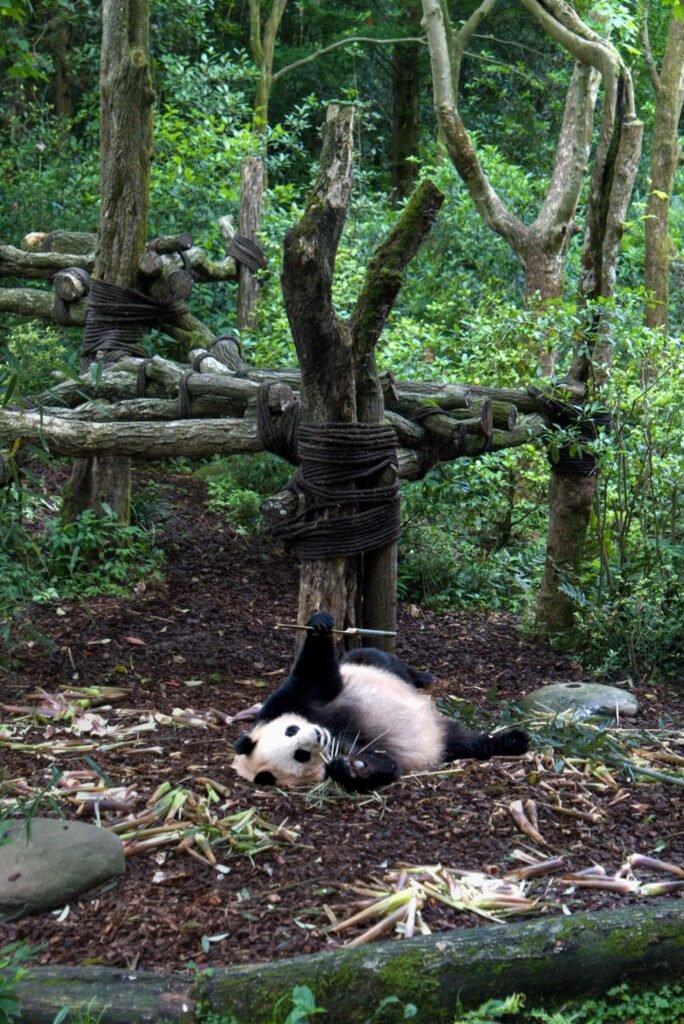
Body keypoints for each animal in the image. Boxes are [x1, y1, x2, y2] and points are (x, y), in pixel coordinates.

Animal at [232, 611, 530, 793]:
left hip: (372, 666)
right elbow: (384, 763)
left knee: (376, 658)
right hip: (445, 742)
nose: (316, 737)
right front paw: (352, 769)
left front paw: (318, 625)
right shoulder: (339, 749)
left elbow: (317, 676)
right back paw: (512, 741)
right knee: (467, 743)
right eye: (300, 755)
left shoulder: (286, 702)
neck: (330, 730)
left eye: (290, 730)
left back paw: (421, 677)